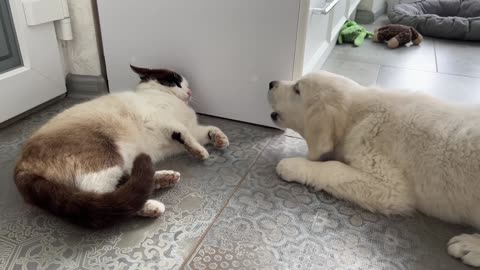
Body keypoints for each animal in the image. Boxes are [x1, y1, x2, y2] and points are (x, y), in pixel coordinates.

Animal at [14, 65, 230, 228]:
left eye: (186, 85)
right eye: (174, 82)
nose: (189, 92)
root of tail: (21, 164)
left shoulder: (188, 131)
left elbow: (209, 130)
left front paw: (220, 140)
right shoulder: (164, 120)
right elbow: (187, 135)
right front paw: (201, 152)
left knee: (128, 181)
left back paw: (165, 179)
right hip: (106, 156)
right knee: (103, 195)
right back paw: (152, 205)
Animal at [268, 70, 480, 266]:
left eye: (297, 89)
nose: (271, 83)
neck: (357, 115)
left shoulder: (390, 186)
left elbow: (333, 168)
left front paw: (292, 165)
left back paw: (469, 247)